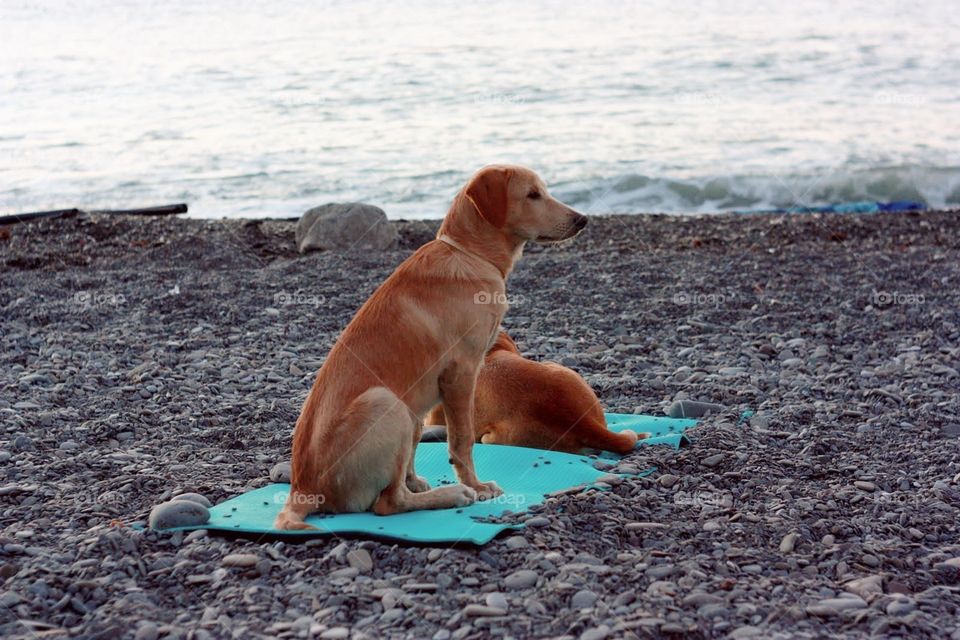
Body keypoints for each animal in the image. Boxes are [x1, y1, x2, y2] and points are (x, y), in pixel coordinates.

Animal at [274, 165, 588, 528]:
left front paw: (426, 480)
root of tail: (303, 489)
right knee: (389, 503)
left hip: (408, 410)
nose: (583, 220)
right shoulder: (462, 374)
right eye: (532, 195)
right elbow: (462, 441)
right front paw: (477, 486)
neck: (470, 255)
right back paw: (452, 495)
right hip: (386, 403)